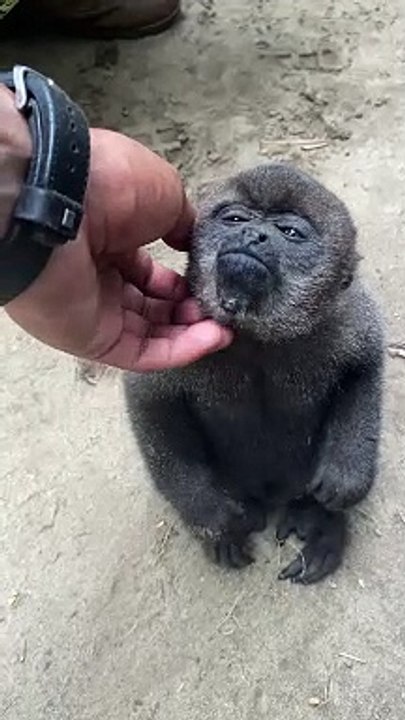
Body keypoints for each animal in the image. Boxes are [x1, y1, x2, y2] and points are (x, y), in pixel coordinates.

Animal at [124, 163, 384, 584]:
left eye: (290, 232)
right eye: (235, 219)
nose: (252, 235)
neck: (255, 337)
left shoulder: (347, 315)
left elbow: (365, 366)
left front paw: (347, 478)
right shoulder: (174, 326)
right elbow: (148, 400)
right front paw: (209, 514)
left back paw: (321, 522)